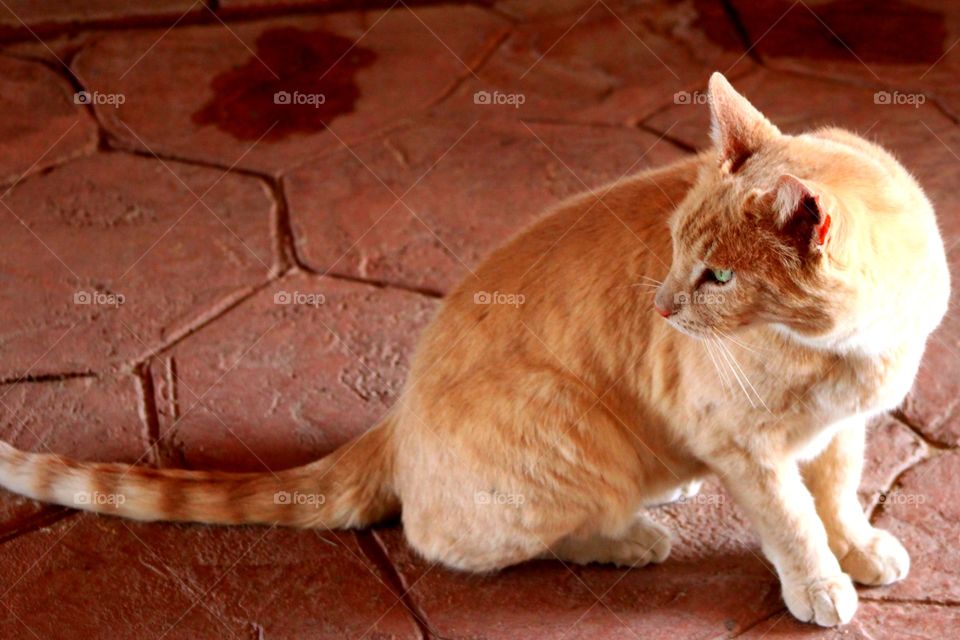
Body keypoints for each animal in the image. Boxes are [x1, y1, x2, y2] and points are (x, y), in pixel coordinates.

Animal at [0, 74, 948, 624]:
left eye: (715, 275)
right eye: (678, 248)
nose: (665, 304)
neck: (844, 352)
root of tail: (395, 417)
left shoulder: (842, 430)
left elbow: (837, 499)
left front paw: (860, 549)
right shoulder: (745, 446)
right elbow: (792, 522)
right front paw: (821, 583)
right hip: (570, 432)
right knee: (456, 538)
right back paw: (630, 536)